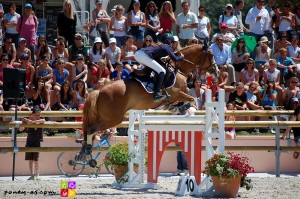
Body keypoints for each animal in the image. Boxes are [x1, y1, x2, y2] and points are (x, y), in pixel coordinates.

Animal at [81, 44, 214, 152]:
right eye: (211, 55)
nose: (215, 69)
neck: (178, 69)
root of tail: (98, 91)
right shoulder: (176, 93)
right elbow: (191, 99)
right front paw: (182, 108)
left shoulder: (177, 94)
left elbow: (185, 100)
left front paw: (176, 107)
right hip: (113, 118)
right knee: (92, 130)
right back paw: (86, 151)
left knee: (89, 129)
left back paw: (84, 153)